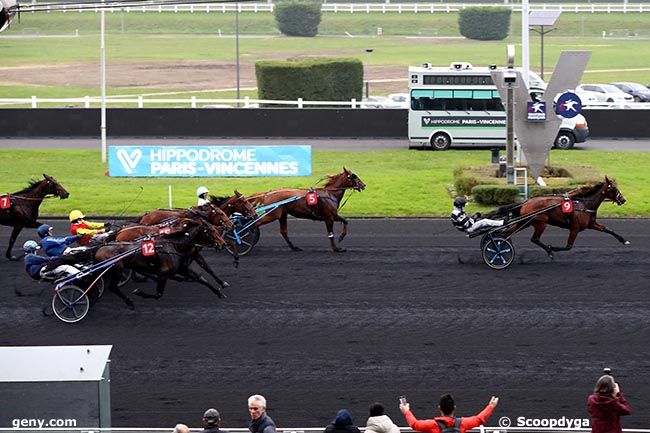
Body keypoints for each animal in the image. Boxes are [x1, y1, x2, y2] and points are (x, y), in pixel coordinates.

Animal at [496, 176, 628, 256]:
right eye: (614, 188)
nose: (623, 199)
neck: (584, 204)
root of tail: (525, 202)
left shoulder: (591, 224)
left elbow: (608, 229)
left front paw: (624, 240)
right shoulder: (575, 228)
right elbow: (568, 246)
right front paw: (553, 248)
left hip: (525, 223)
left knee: (505, 234)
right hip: (540, 223)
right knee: (534, 239)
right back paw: (548, 250)